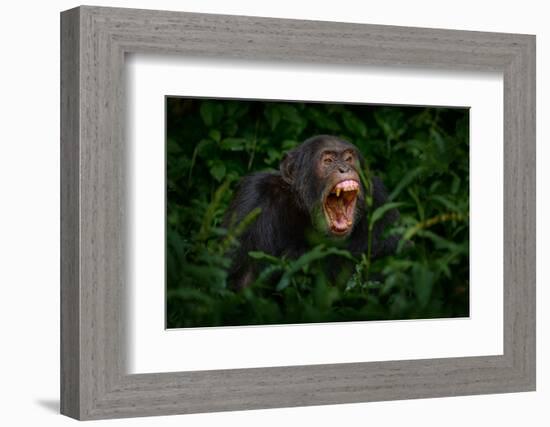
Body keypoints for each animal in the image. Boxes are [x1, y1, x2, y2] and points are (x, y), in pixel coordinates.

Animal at [224, 135, 402, 288]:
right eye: (328, 161)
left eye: (349, 159)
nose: (344, 168)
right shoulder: (253, 197)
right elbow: (243, 276)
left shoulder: (379, 197)